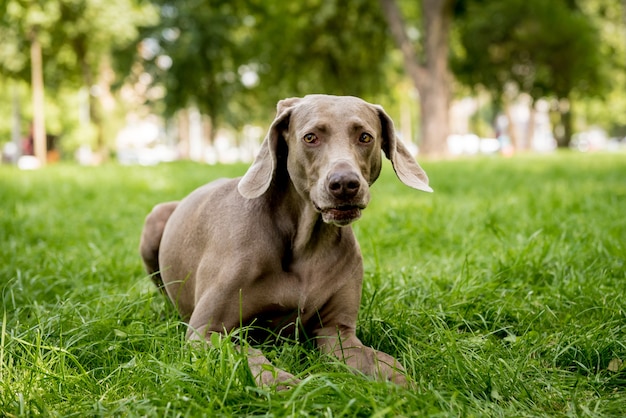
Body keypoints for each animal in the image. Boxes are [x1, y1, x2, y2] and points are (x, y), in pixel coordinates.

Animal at [139, 94, 428, 388]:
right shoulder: (205, 331)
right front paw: (286, 385)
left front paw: (409, 388)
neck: (307, 243)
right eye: (310, 137)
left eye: (365, 137)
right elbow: (250, 356)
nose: (345, 184)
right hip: (154, 220)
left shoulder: (336, 331)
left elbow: (384, 363)